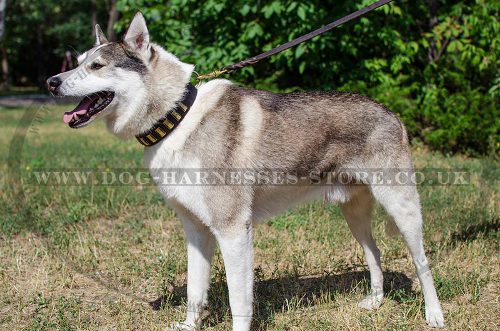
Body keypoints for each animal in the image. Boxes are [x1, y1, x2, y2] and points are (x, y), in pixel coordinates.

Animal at [47, 11, 446, 330]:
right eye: (78, 61)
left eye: (97, 66)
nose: (51, 82)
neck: (178, 118)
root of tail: (391, 112)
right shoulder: (195, 231)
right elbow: (195, 291)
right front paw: (189, 326)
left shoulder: (233, 232)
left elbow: (239, 301)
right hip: (354, 214)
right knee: (374, 254)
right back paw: (376, 302)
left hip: (403, 210)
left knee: (422, 262)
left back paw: (434, 314)